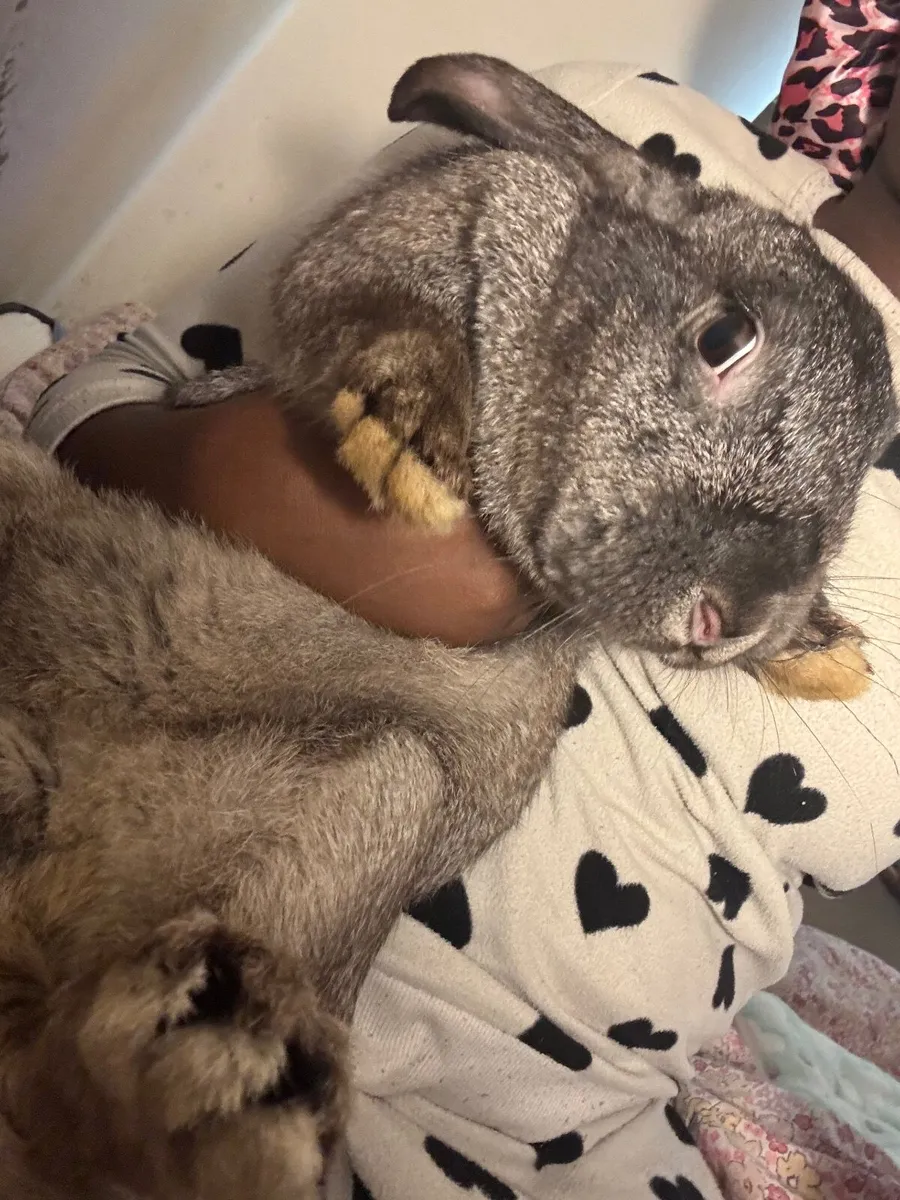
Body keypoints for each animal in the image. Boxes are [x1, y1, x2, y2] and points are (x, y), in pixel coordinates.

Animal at [0, 52, 893, 1200]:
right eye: (723, 338)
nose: (730, 618)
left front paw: (825, 652)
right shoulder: (388, 254)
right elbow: (384, 318)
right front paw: (411, 444)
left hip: (383, 794)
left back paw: (214, 1074)